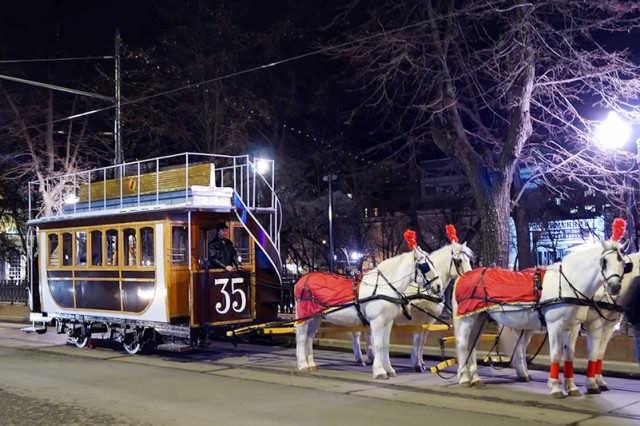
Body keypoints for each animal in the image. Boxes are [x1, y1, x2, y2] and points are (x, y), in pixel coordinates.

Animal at [294, 230, 440, 380]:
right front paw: (380, 371)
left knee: (309, 336)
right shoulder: (376, 321)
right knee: (301, 337)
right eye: (425, 266)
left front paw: (389, 369)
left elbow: (385, 344)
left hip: (316, 316)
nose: (438, 286)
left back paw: (311, 364)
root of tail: (302, 280)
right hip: (304, 316)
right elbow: (378, 345)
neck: (383, 287)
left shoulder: (388, 321)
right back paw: (303, 365)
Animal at [452, 218, 628, 398]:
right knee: (463, 343)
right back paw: (464, 378)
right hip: (468, 318)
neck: (567, 283)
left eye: (623, 262)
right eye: (604, 261)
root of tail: (464, 276)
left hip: (480, 318)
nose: (615, 287)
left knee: (473, 344)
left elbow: (569, 355)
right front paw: (556, 387)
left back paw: (475, 378)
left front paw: (571, 387)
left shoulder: (573, 326)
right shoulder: (556, 325)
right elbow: (556, 354)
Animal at [564, 251, 636, 394]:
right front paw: (591, 384)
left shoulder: (609, 327)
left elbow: (600, 353)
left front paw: (599, 381)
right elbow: (594, 352)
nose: (615, 288)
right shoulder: (594, 325)